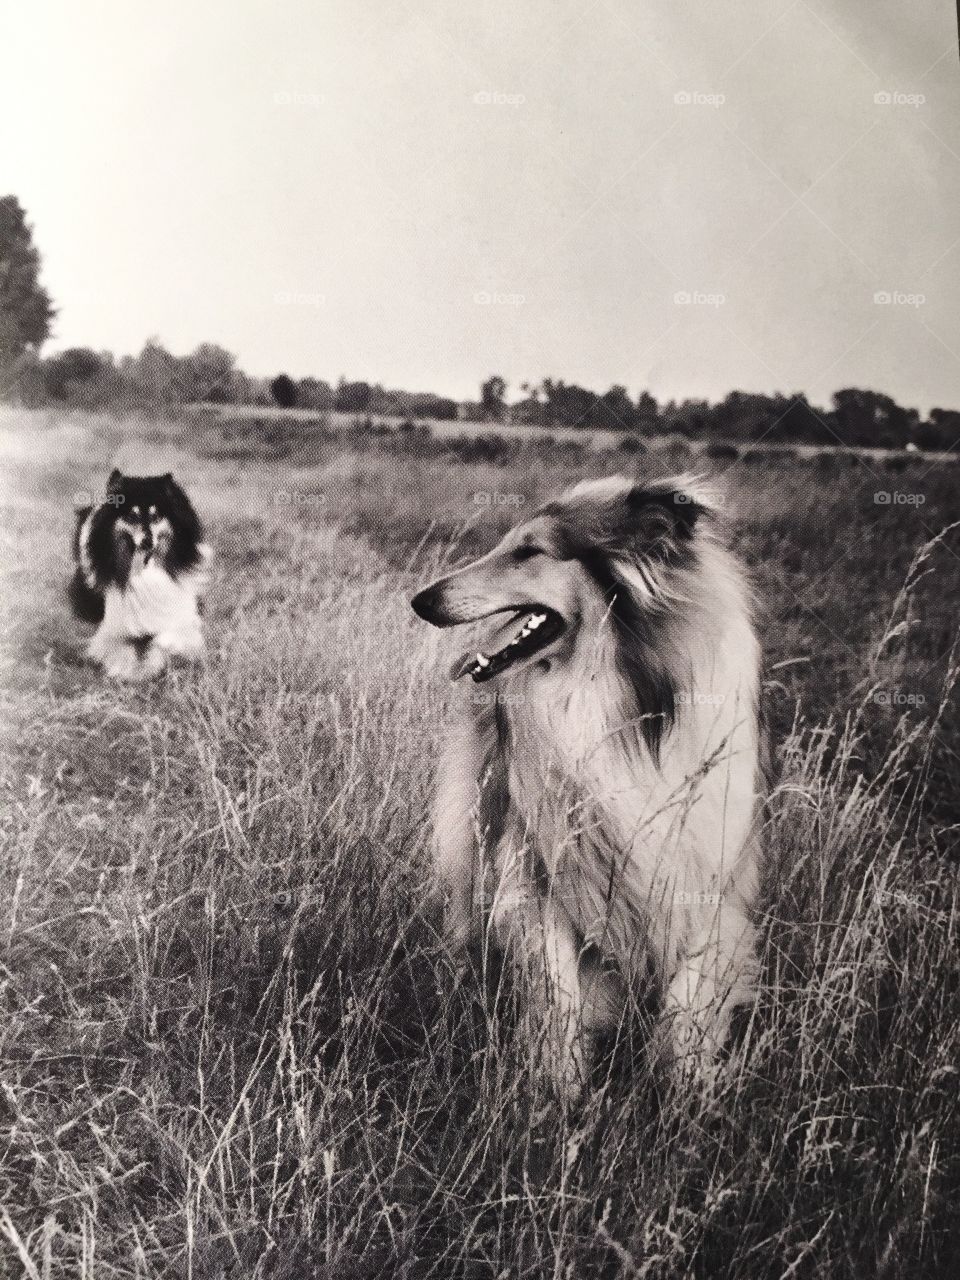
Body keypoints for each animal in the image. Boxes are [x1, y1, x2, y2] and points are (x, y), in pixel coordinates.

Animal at [70, 465, 213, 675]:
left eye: (155, 516)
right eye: (132, 516)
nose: (147, 542)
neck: (146, 571)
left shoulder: (184, 622)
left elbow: (163, 640)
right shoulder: (112, 627)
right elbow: (122, 648)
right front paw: (127, 670)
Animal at [412, 478, 768, 1100]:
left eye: (530, 550)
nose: (420, 601)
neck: (606, 701)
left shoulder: (705, 876)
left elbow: (684, 1014)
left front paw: (682, 1102)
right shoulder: (534, 873)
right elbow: (558, 1002)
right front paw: (558, 1099)